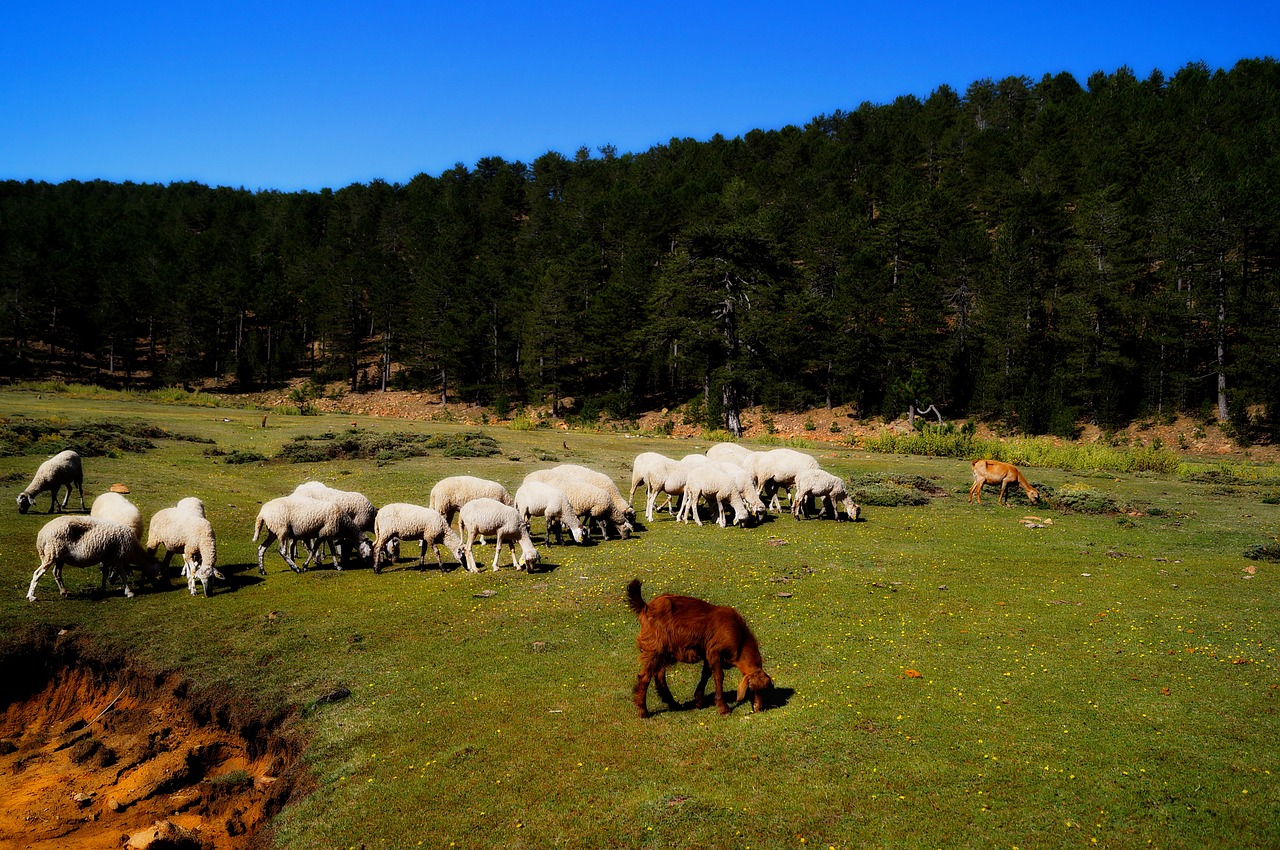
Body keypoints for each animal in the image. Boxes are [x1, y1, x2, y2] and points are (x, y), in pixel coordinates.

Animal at [27, 514, 161, 601]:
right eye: (158, 572)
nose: (159, 585)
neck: (134, 551)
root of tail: (41, 535)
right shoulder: (118, 557)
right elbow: (123, 574)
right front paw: (129, 592)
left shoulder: (107, 558)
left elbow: (105, 574)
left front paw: (103, 590)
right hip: (52, 553)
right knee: (38, 573)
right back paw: (31, 596)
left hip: (60, 557)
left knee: (57, 573)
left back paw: (64, 592)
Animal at [627, 578, 773, 716]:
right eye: (751, 689)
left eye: (765, 690)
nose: (758, 708)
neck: (739, 638)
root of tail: (646, 607)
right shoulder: (714, 651)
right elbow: (719, 676)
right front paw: (723, 708)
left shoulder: (708, 654)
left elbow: (706, 675)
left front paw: (699, 701)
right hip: (654, 648)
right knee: (644, 677)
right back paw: (643, 711)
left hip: (664, 652)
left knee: (659, 675)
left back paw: (673, 704)